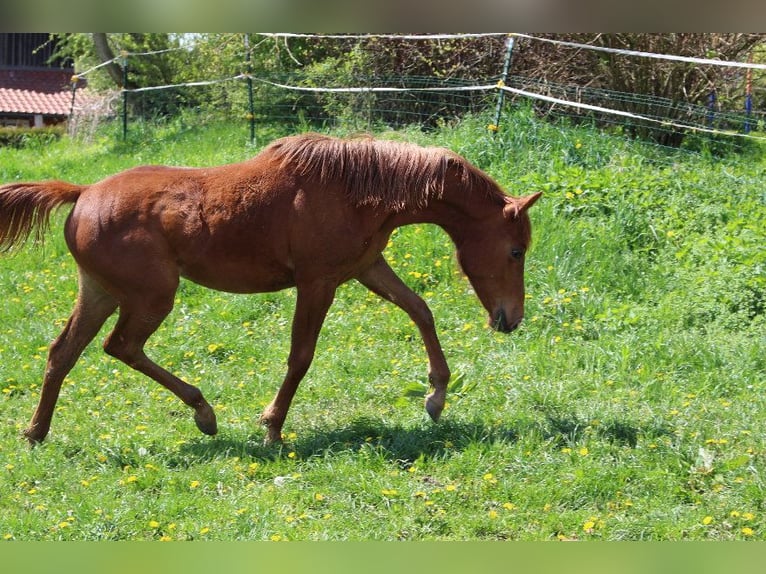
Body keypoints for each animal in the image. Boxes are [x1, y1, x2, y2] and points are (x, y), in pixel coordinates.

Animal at [0, 134, 540, 446]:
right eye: (516, 251)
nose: (511, 319)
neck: (355, 188)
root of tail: (83, 194)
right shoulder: (317, 282)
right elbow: (301, 356)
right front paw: (273, 428)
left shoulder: (367, 268)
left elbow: (421, 310)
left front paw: (436, 396)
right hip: (152, 297)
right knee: (121, 346)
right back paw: (204, 413)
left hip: (100, 291)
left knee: (63, 353)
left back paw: (35, 433)